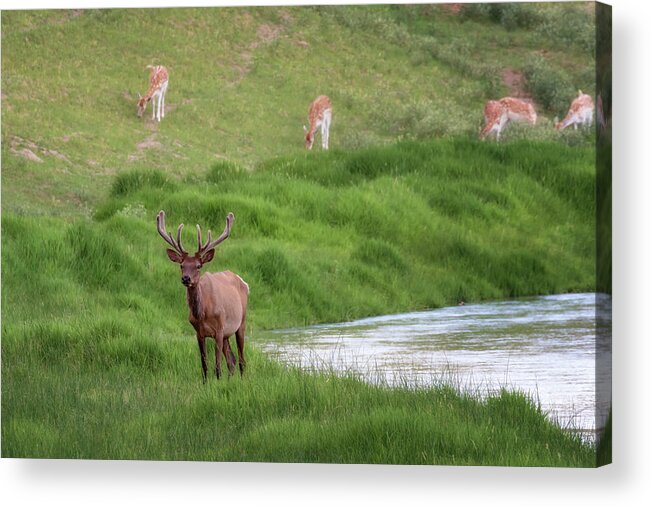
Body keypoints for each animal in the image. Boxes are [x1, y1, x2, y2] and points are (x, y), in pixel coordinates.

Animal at [158, 209, 250, 380]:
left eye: (198, 265)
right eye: (181, 265)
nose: (186, 278)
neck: (203, 313)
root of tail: (244, 282)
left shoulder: (219, 329)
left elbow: (217, 366)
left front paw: (218, 381)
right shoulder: (198, 333)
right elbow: (205, 366)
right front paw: (206, 383)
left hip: (241, 322)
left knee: (241, 360)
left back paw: (242, 380)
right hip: (227, 333)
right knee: (232, 360)